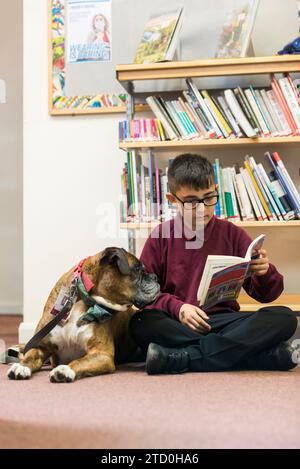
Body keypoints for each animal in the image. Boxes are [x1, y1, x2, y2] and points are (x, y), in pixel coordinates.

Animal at [7, 247, 159, 382]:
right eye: (138, 269)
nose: (155, 277)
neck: (82, 296)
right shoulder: (41, 346)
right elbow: (30, 356)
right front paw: (21, 366)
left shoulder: (102, 354)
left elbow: (80, 361)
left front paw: (65, 369)